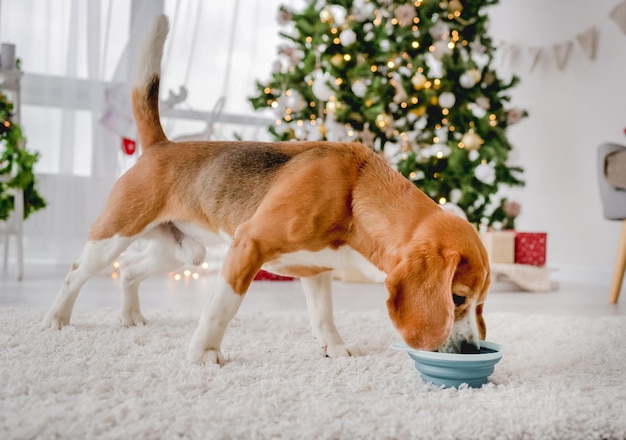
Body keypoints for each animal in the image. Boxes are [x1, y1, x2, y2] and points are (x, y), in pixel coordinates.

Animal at [41, 14, 490, 364]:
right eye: (457, 298)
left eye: (480, 303)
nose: (471, 350)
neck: (355, 193)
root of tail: (160, 145)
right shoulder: (248, 245)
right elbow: (221, 308)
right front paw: (204, 353)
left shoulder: (316, 269)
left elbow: (324, 316)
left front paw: (334, 349)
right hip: (115, 234)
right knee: (77, 272)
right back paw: (56, 319)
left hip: (182, 250)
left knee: (132, 271)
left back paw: (129, 316)